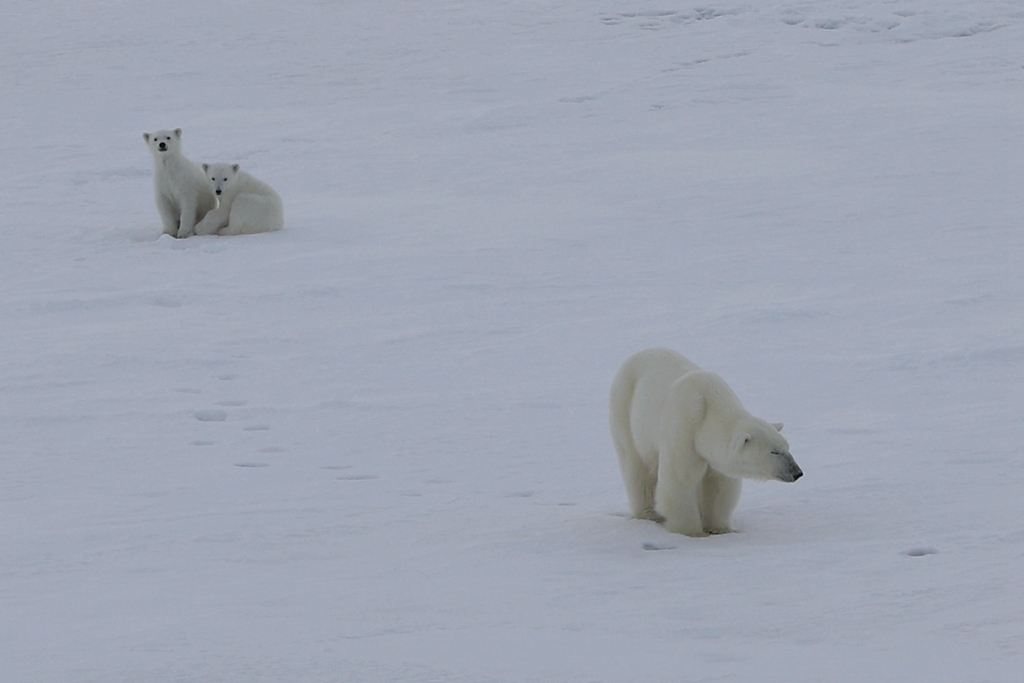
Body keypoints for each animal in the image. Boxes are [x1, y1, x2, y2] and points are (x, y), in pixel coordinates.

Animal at [606, 350, 798, 536]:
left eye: (787, 447)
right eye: (774, 451)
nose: (797, 472)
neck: (708, 408)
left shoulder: (713, 455)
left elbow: (719, 485)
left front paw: (718, 528)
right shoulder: (683, 429)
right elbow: (681, 479)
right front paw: (692, 532)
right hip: (627, 411)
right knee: (638, 466)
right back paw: (649, 514)